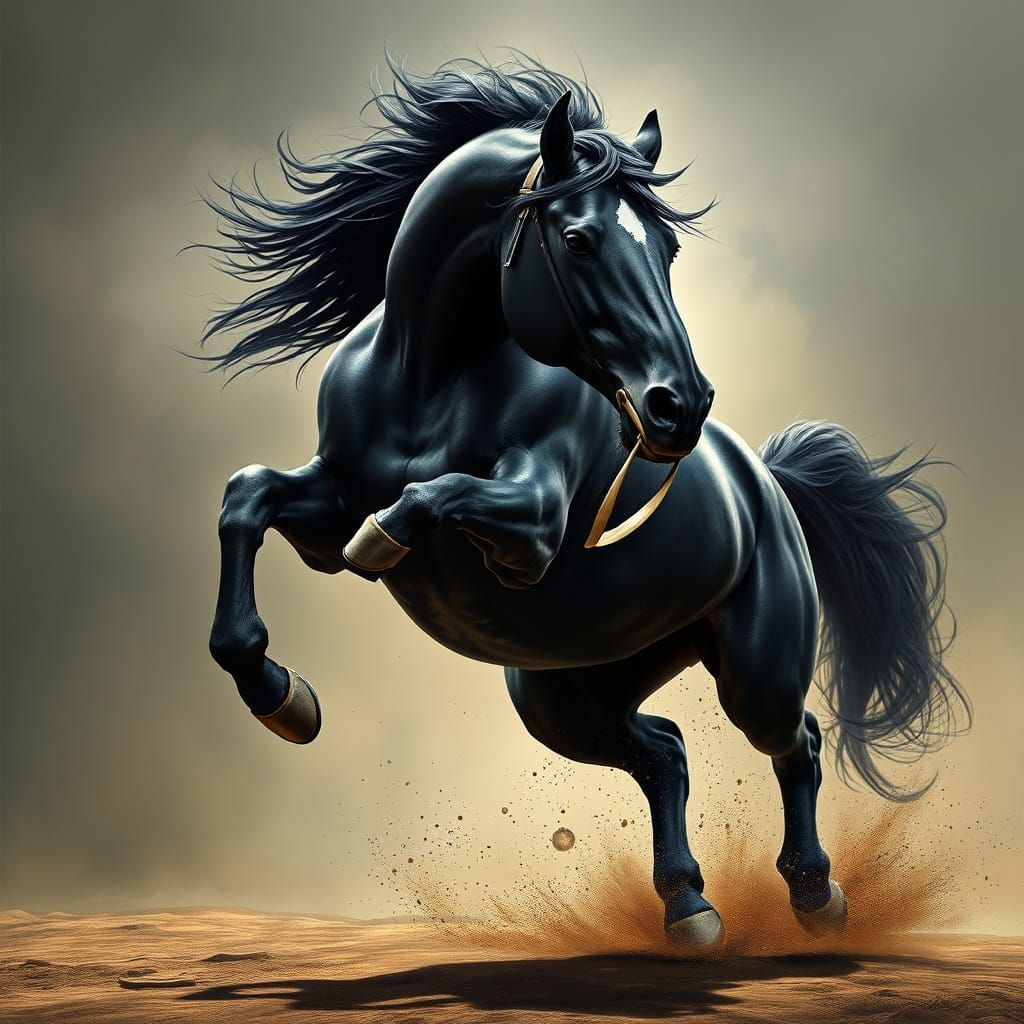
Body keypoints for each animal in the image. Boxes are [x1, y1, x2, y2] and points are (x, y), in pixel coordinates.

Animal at [198, 55, 968, 946]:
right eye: (576, 239)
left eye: (668, 245)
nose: (681, 406)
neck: (429, 384)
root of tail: (769, 484)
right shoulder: (325, 508)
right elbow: (247, 498)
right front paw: (285, 699)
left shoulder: (529, 537)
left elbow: (428, 497)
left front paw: (381, 544)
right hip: (563, 697)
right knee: (664, 752)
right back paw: (689, 908)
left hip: (756, 674)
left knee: (796, 741)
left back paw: (815, 896)